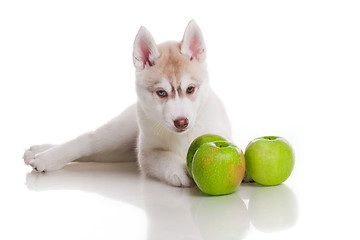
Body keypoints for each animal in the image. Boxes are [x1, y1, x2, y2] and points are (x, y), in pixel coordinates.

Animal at [26, 20, 233, 187]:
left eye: (190, 89)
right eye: (161, 92)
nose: (181, 122)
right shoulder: (147, 152)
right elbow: (165, 157)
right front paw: (181, 171)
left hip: (120, 149)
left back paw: (35, 152)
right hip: (121, 131)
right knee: (88, 140)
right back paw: (44, 157)